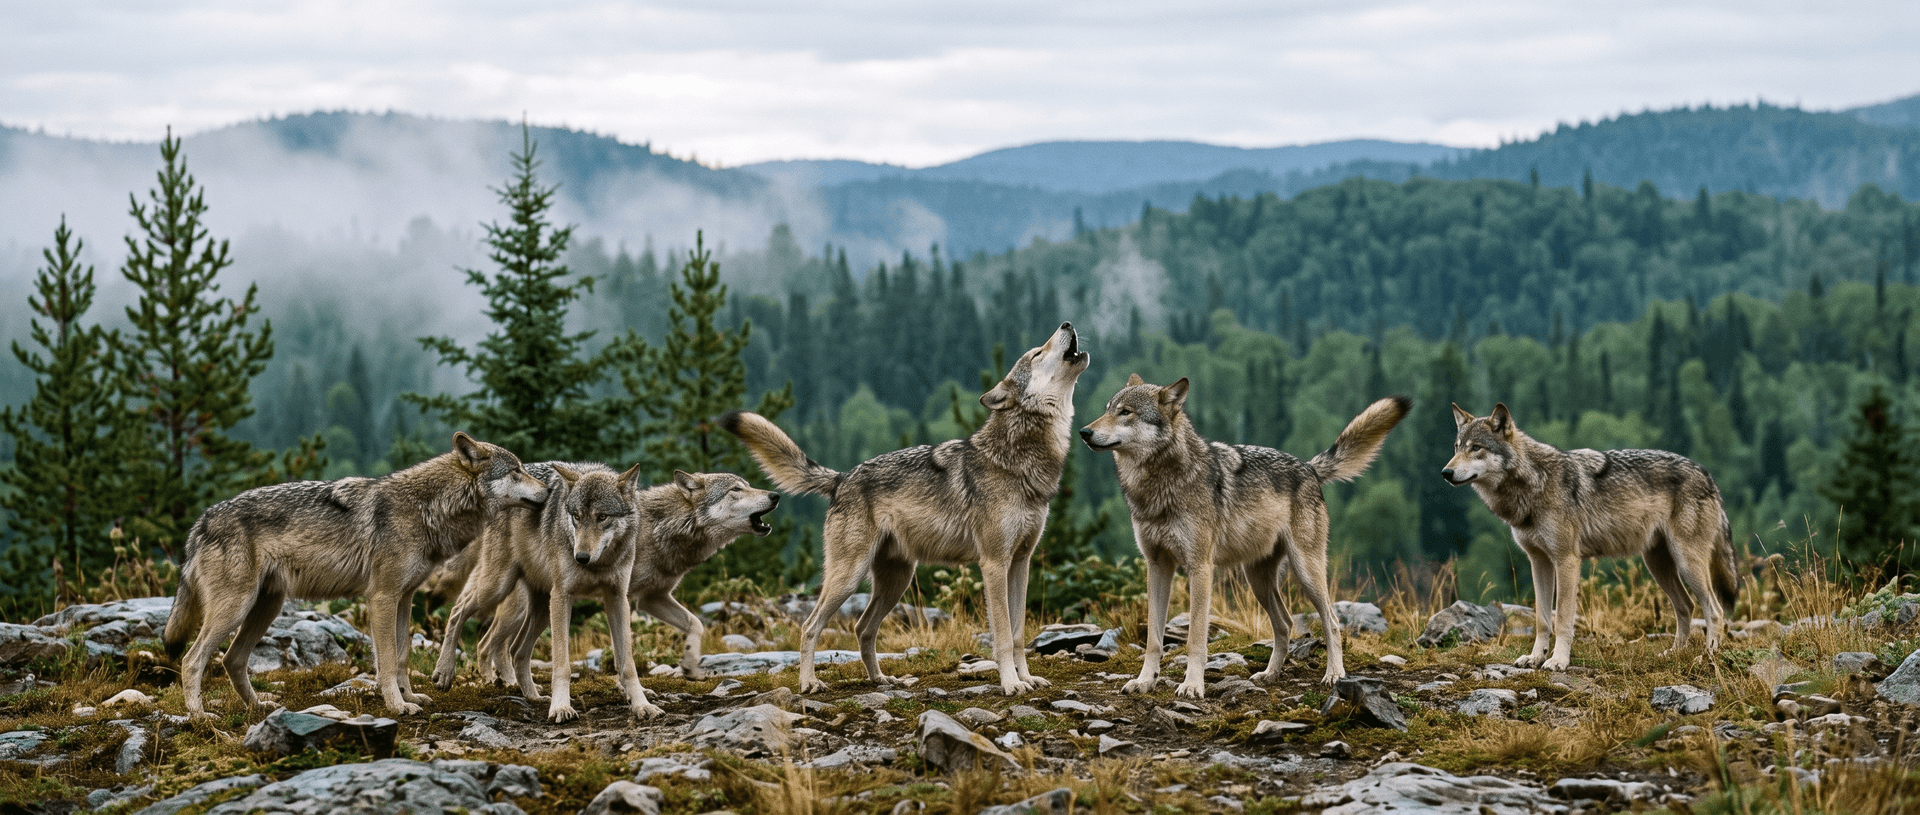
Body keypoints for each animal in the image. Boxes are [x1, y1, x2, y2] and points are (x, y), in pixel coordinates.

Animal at [163, 432, 548, 717]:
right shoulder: (381, 597)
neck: (427, 508)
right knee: (192, 660)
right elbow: (388, 660)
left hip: (265, 608)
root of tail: (200, 522)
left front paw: (411, 697)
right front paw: (397, 706)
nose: (549, 490)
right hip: (235, 608)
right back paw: (199, 715)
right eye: (516, 471)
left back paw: (259, 706)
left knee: (232, 659)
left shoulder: (404, 598)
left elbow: (403, 656)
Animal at [431, 465, 778, 721]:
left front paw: (689, 666)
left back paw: (527, 692)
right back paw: (450, 674)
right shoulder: (629, 600)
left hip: (539, 608)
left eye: (747, 486)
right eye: (736, 490)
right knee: (468, 621)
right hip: (501, 592)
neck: (662, 528)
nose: (774, 495)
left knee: (511, 648)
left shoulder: (644, 598)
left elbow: (694, 624)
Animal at [723, 322, 1090, 695]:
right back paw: (810, 682)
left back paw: (880, 679)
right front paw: (1011, 684)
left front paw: (1027, 678)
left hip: (896, 581)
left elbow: (1018, 635)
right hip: (849, 578)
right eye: (1037, 353)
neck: (1018, 459)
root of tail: (841, 478)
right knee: (811, 626)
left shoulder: (1020, 563)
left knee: (862, 628)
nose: (1066, 324)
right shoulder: (994, 564)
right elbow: (1002, 634)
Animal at [1082, 376, 1409, 697]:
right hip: (1257, 580)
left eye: (1126, 412)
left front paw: (1192, 686)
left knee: (1331, 620)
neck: (1159, 485)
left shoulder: (1200, 568)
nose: (1084, 431)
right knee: (1285, 623)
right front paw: (1144, 681)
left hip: (1306, 571)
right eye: (1107, 409)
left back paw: (1334, 674)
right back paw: (1270, 674)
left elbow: (1195, 639)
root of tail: (1309, 468)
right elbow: (1153, 639)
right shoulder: (1158, 566)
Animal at [1444, 403, 1740, 670]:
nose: (1445, 472)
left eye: (1476, 448)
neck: (1535, 482)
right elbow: (1542, 620)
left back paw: (1708, 657)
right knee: (1686, 606)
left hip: (1686, 563)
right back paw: (1673, 654)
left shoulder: (1567, 561)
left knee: (1715, 611)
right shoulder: (1539, 562)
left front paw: (1558, 661)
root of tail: (1707, 474)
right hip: (1658, 565)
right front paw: (1535, 658)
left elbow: (1563, 618)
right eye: (1457, 447)